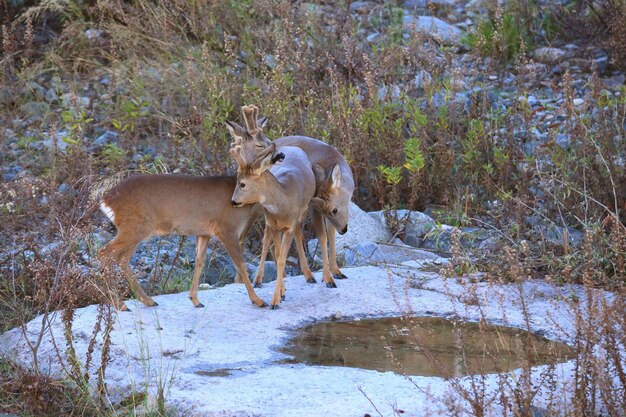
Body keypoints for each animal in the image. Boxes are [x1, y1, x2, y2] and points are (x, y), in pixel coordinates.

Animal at [97, 172, 266, 308]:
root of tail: (106, 199)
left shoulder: (204, 233)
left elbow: (199, 261)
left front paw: (196, 301)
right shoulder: (227, 230)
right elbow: (241, 264)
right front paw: (258, 301)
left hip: (136, 231)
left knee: (122, 259)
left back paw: (148, 301)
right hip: (135, 227)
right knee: (104, 252)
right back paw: (120, 304)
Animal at [225, 104, 354, 288]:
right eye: (333, 210)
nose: (344, 229)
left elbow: (330, 235)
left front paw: (337, 271)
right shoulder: (313, 207)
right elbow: (322, 236)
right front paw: (327, 277)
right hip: (255, 207)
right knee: (245, 236)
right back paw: (244, 279)